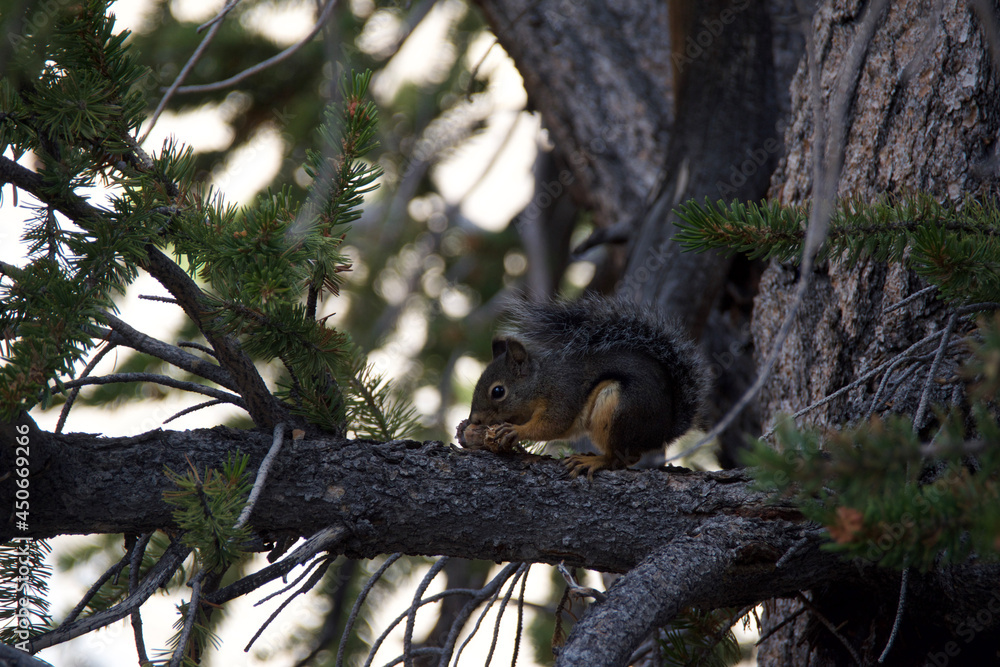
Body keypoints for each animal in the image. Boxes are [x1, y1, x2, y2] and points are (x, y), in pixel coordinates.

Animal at [458, 294, 708, 478]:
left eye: (498, 391)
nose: (475, 419)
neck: (541, 382)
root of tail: (662, 432)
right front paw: (464, 429)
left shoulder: (563, 393)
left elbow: (553, 424)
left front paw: (516, 431)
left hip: (617, 408)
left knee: (621, 458)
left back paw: (593, 460)